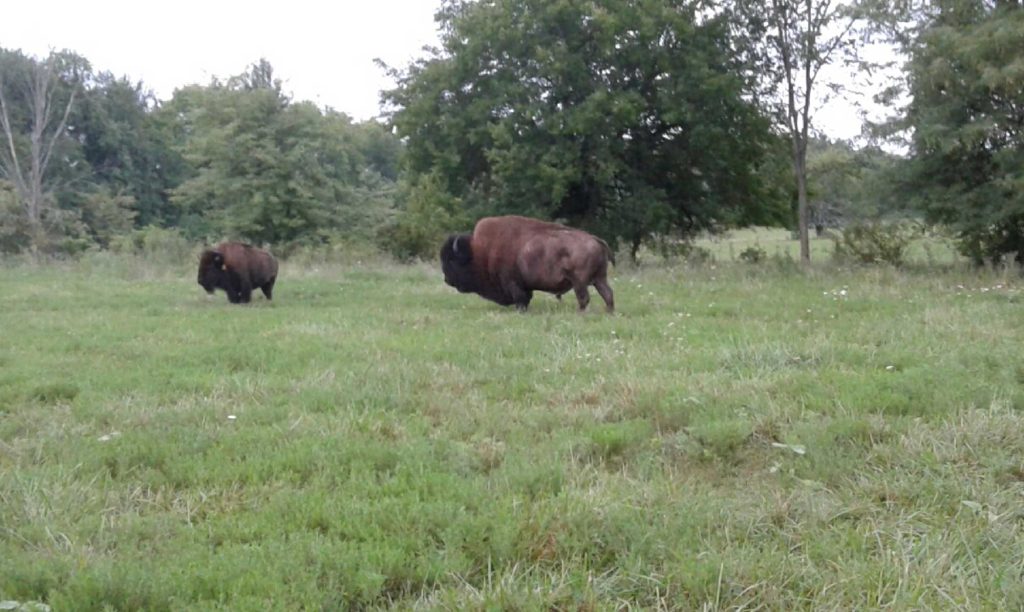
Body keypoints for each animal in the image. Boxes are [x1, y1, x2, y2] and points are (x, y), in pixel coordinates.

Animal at [440, 215, 615, 313]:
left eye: (451, 260)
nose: (447, 280)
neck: (481, 252)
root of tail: (596, 239)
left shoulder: (513, 283)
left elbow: (521, 299)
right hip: (600, 278)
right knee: (607, 294)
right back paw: (609, 312)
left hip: (579, 282)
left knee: (584, 298)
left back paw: (581, 313)